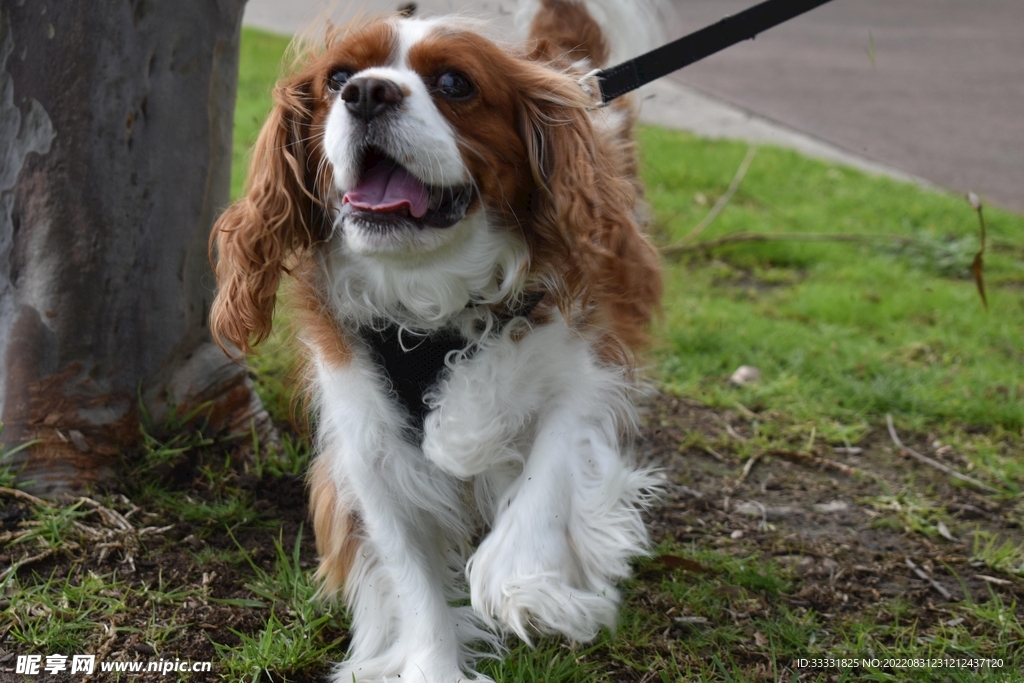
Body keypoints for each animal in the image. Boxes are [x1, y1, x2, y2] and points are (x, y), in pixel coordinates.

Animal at [209, 2, 663, 679]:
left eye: (454, 83)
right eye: (337, 78)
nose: (367, 92)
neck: (429, 298)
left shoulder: (586, 367)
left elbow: (550, 469)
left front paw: (522, 579)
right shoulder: (366, 443)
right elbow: (411, 580)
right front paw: (435, 664)